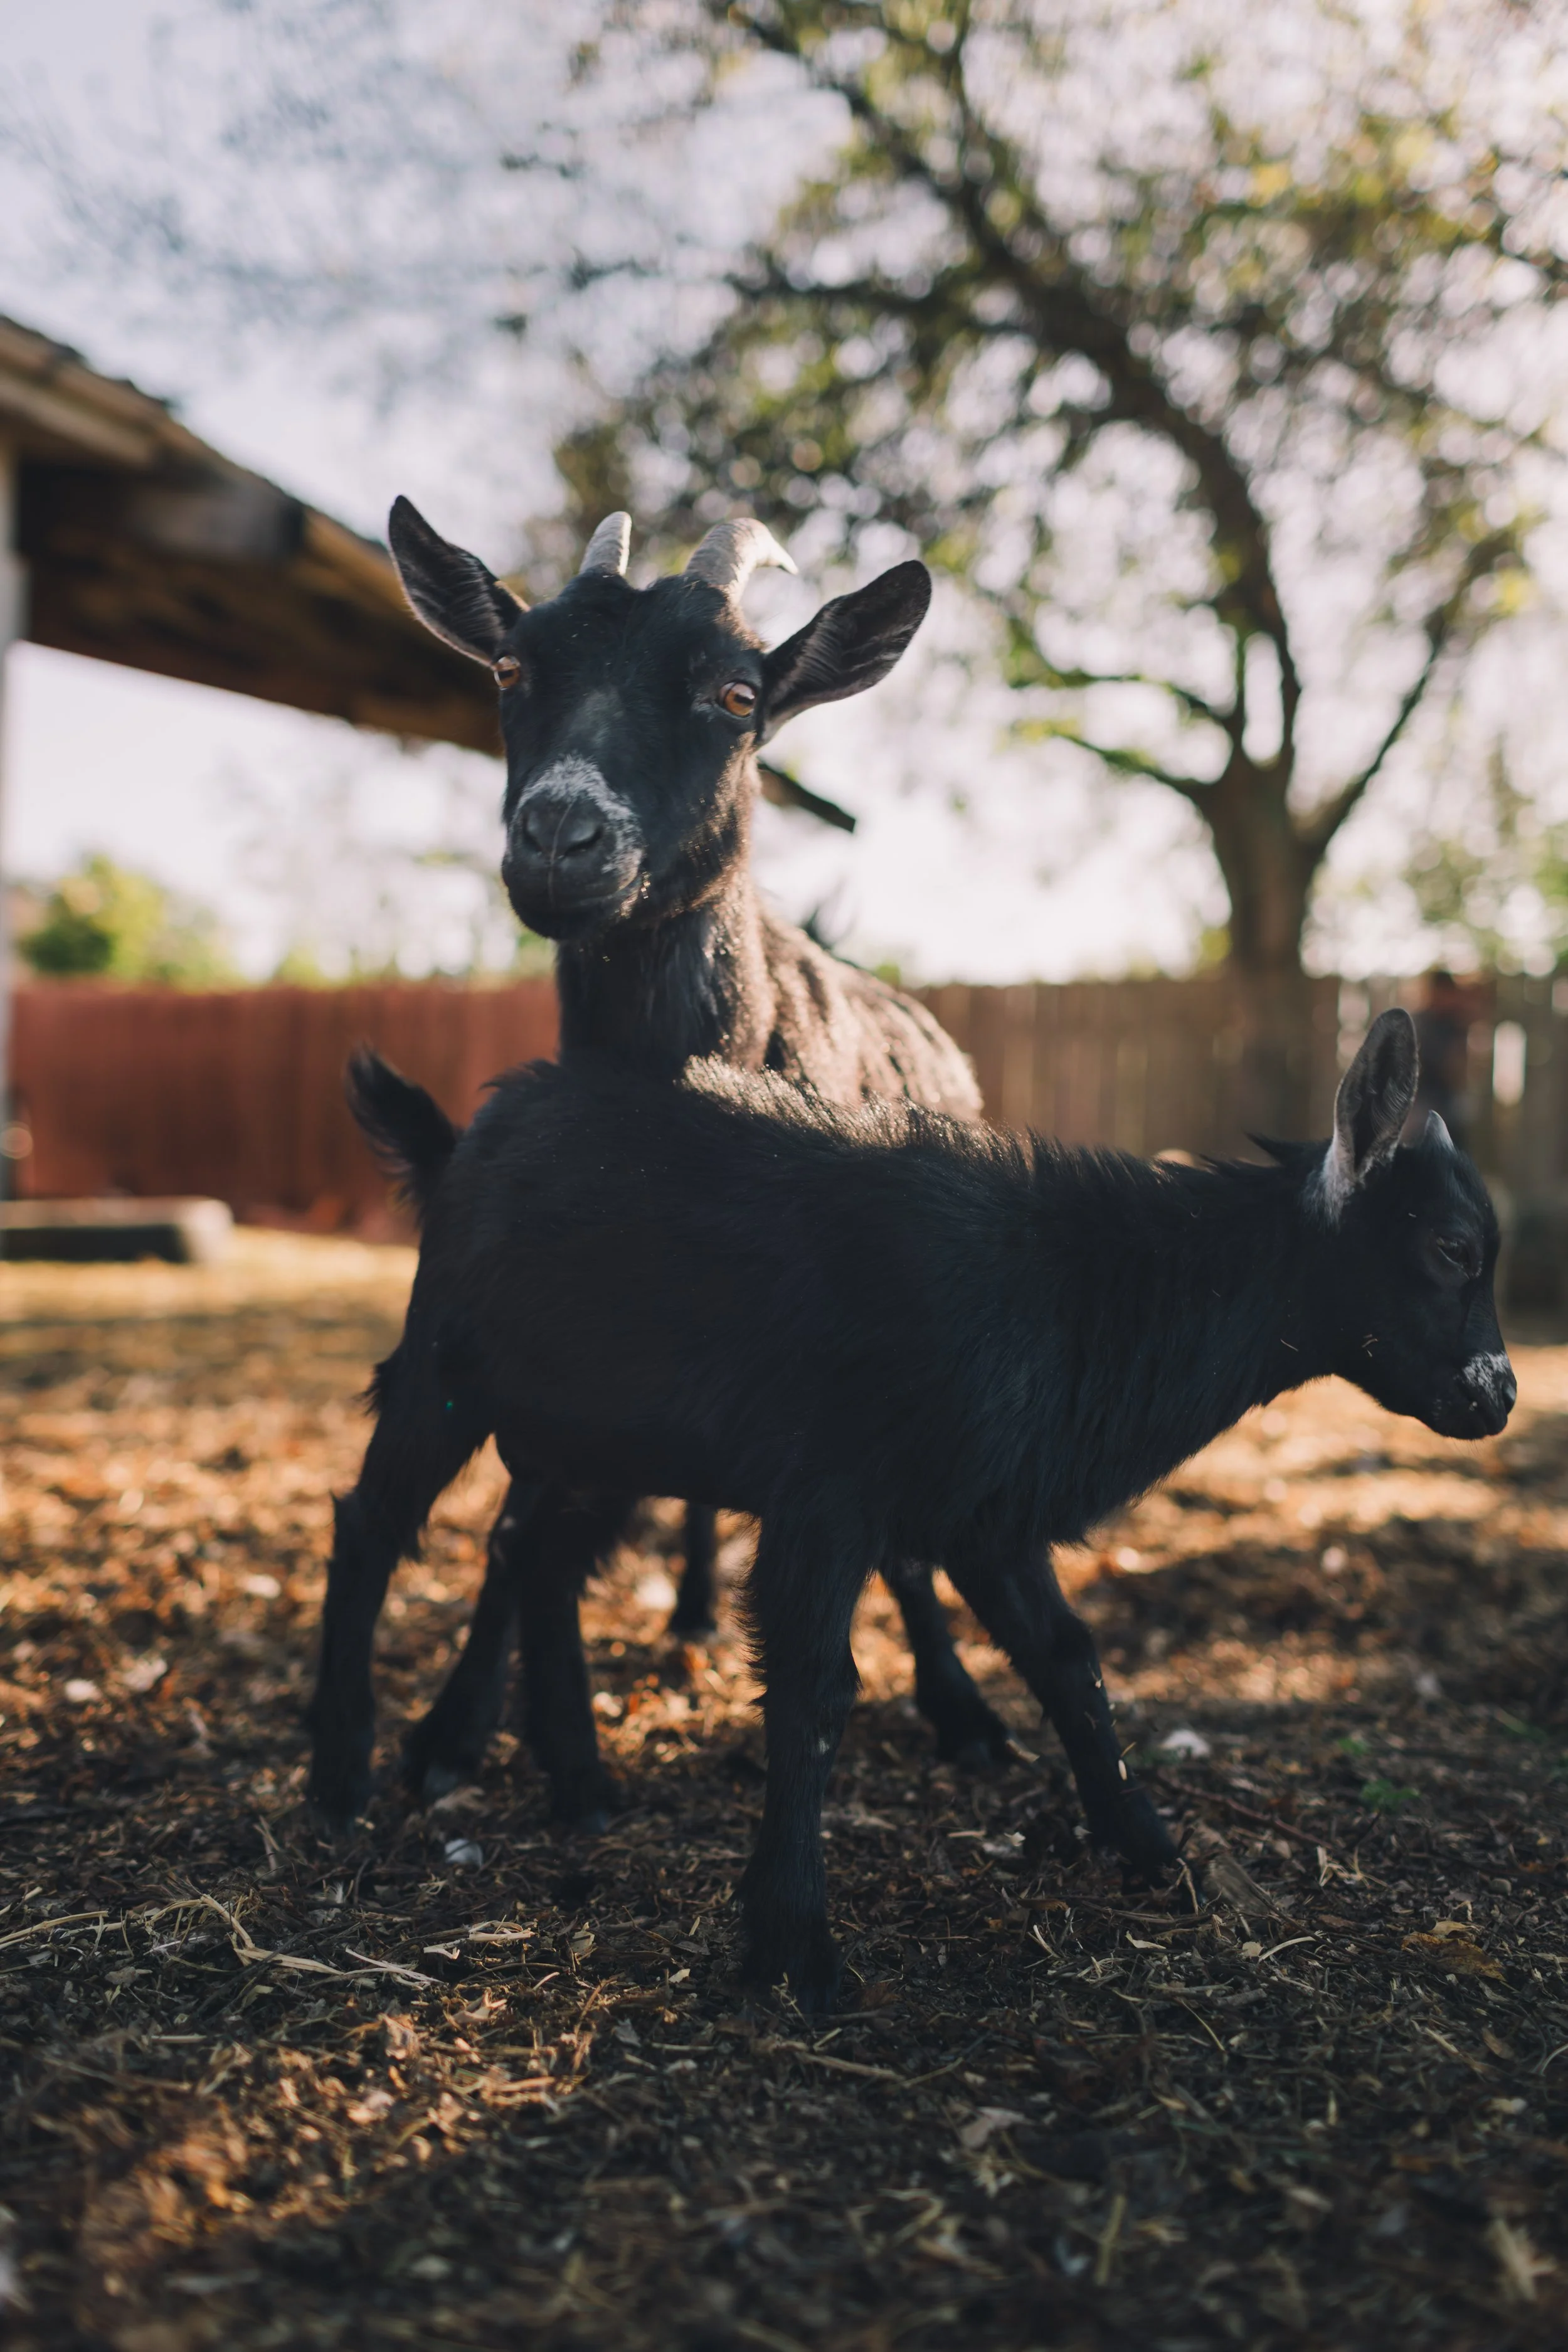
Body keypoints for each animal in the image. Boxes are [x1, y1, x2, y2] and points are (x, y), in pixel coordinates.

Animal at [307, 1009, 1512, 2009]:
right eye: (1452, 1249)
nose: (1497, 1396)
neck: (1081, 1290)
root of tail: (465, 1136)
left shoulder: (987, 1506)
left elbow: (1068, 1662)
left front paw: (1153, 1849)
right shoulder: (829, 1493)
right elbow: (816, 1692)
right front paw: (792, 1946)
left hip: (603, 1433)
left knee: (539, 1557)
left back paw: (582, 1784)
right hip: (448, 1364)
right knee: (374, 1526)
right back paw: (340, 1772)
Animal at [347, 498, 1006, 1824]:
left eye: (737, 694)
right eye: (510, 669)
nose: (561, 835)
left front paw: (956, 1709)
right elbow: (521, 1516)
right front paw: (453, 1730)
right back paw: (693, 1611)